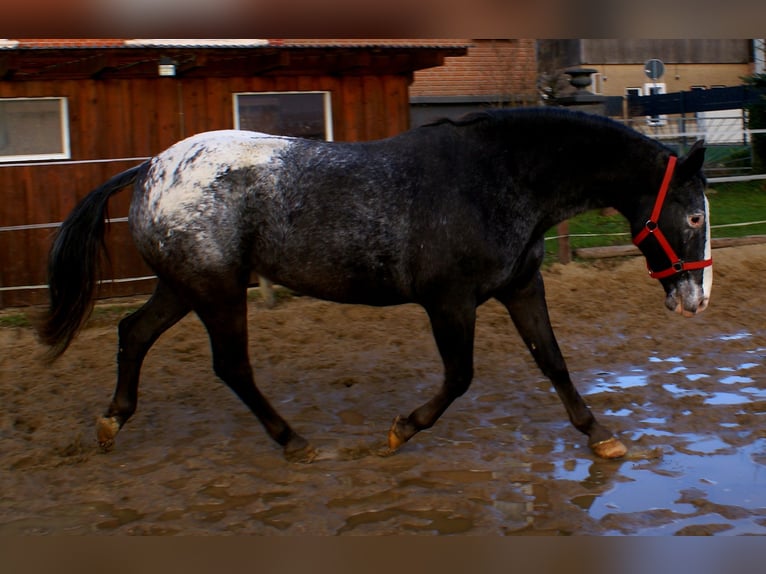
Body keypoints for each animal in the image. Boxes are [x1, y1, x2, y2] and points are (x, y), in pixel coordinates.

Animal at [39, 109, 712, 464]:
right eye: (694, 218)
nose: (696, 300)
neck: (497, 178)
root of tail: (150, 169)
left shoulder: (521, 287)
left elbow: (553, 361)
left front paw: (601, 436)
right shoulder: (449, 303)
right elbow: (460, 378)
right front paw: (400, 430)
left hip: (187, 287)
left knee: (133, 333)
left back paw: (112, 423)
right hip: (218, 293)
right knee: (231, 365)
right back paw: (294, 442)